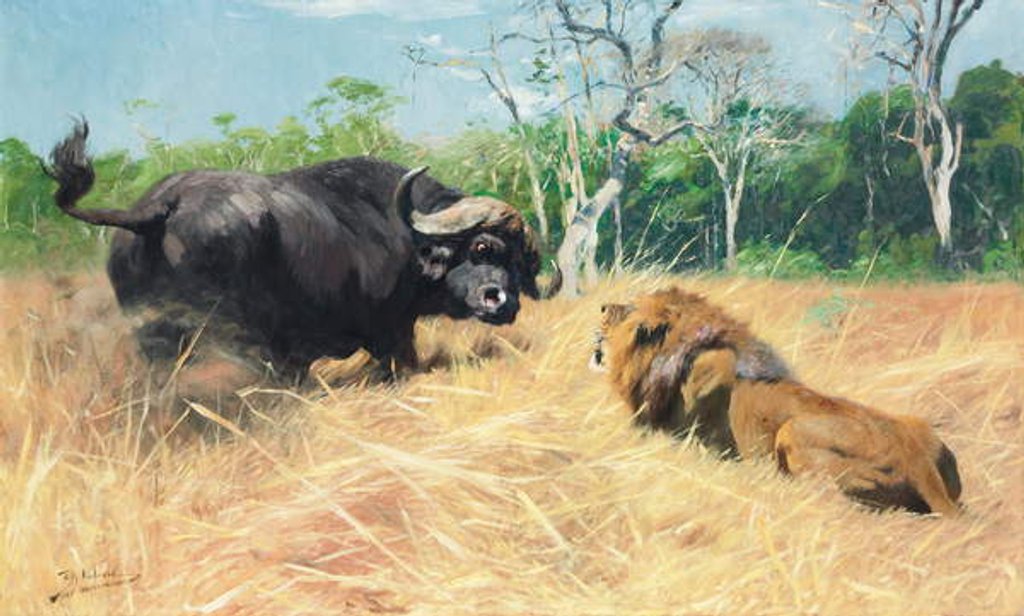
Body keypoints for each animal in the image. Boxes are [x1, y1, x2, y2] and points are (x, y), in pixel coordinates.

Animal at [45, 121, 558, 379]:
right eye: (483, 246)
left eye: (521, 262)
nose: (504, 301)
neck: (409, 237)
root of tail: (162, 206)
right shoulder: (391, 332)